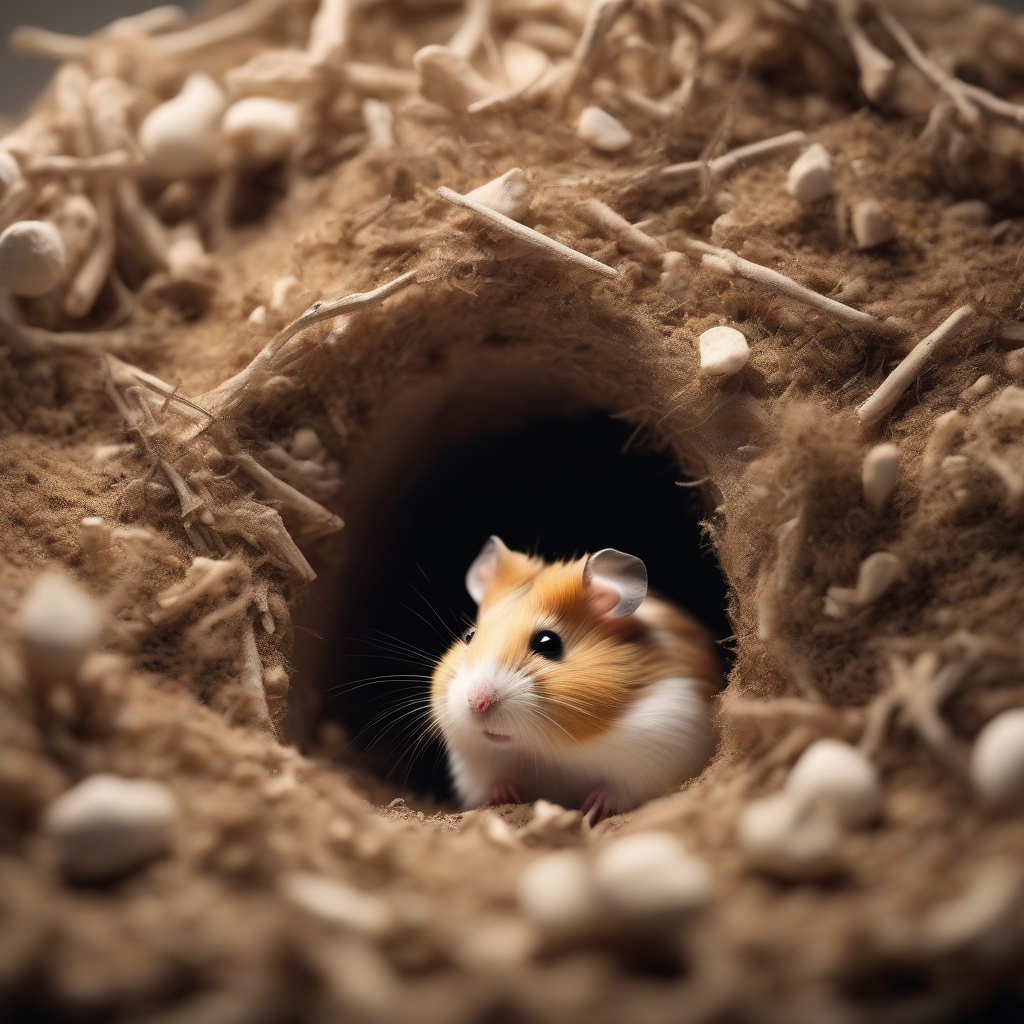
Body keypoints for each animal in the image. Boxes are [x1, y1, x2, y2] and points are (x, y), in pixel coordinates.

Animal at [431, 536, 722, 822]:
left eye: (548, 643)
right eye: (469, 636)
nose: (477, 703)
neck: (544, 751)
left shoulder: (664, 747)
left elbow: (618, 789)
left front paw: (591, 808)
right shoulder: (474, 770)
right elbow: (494, 781)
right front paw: (507, 794)